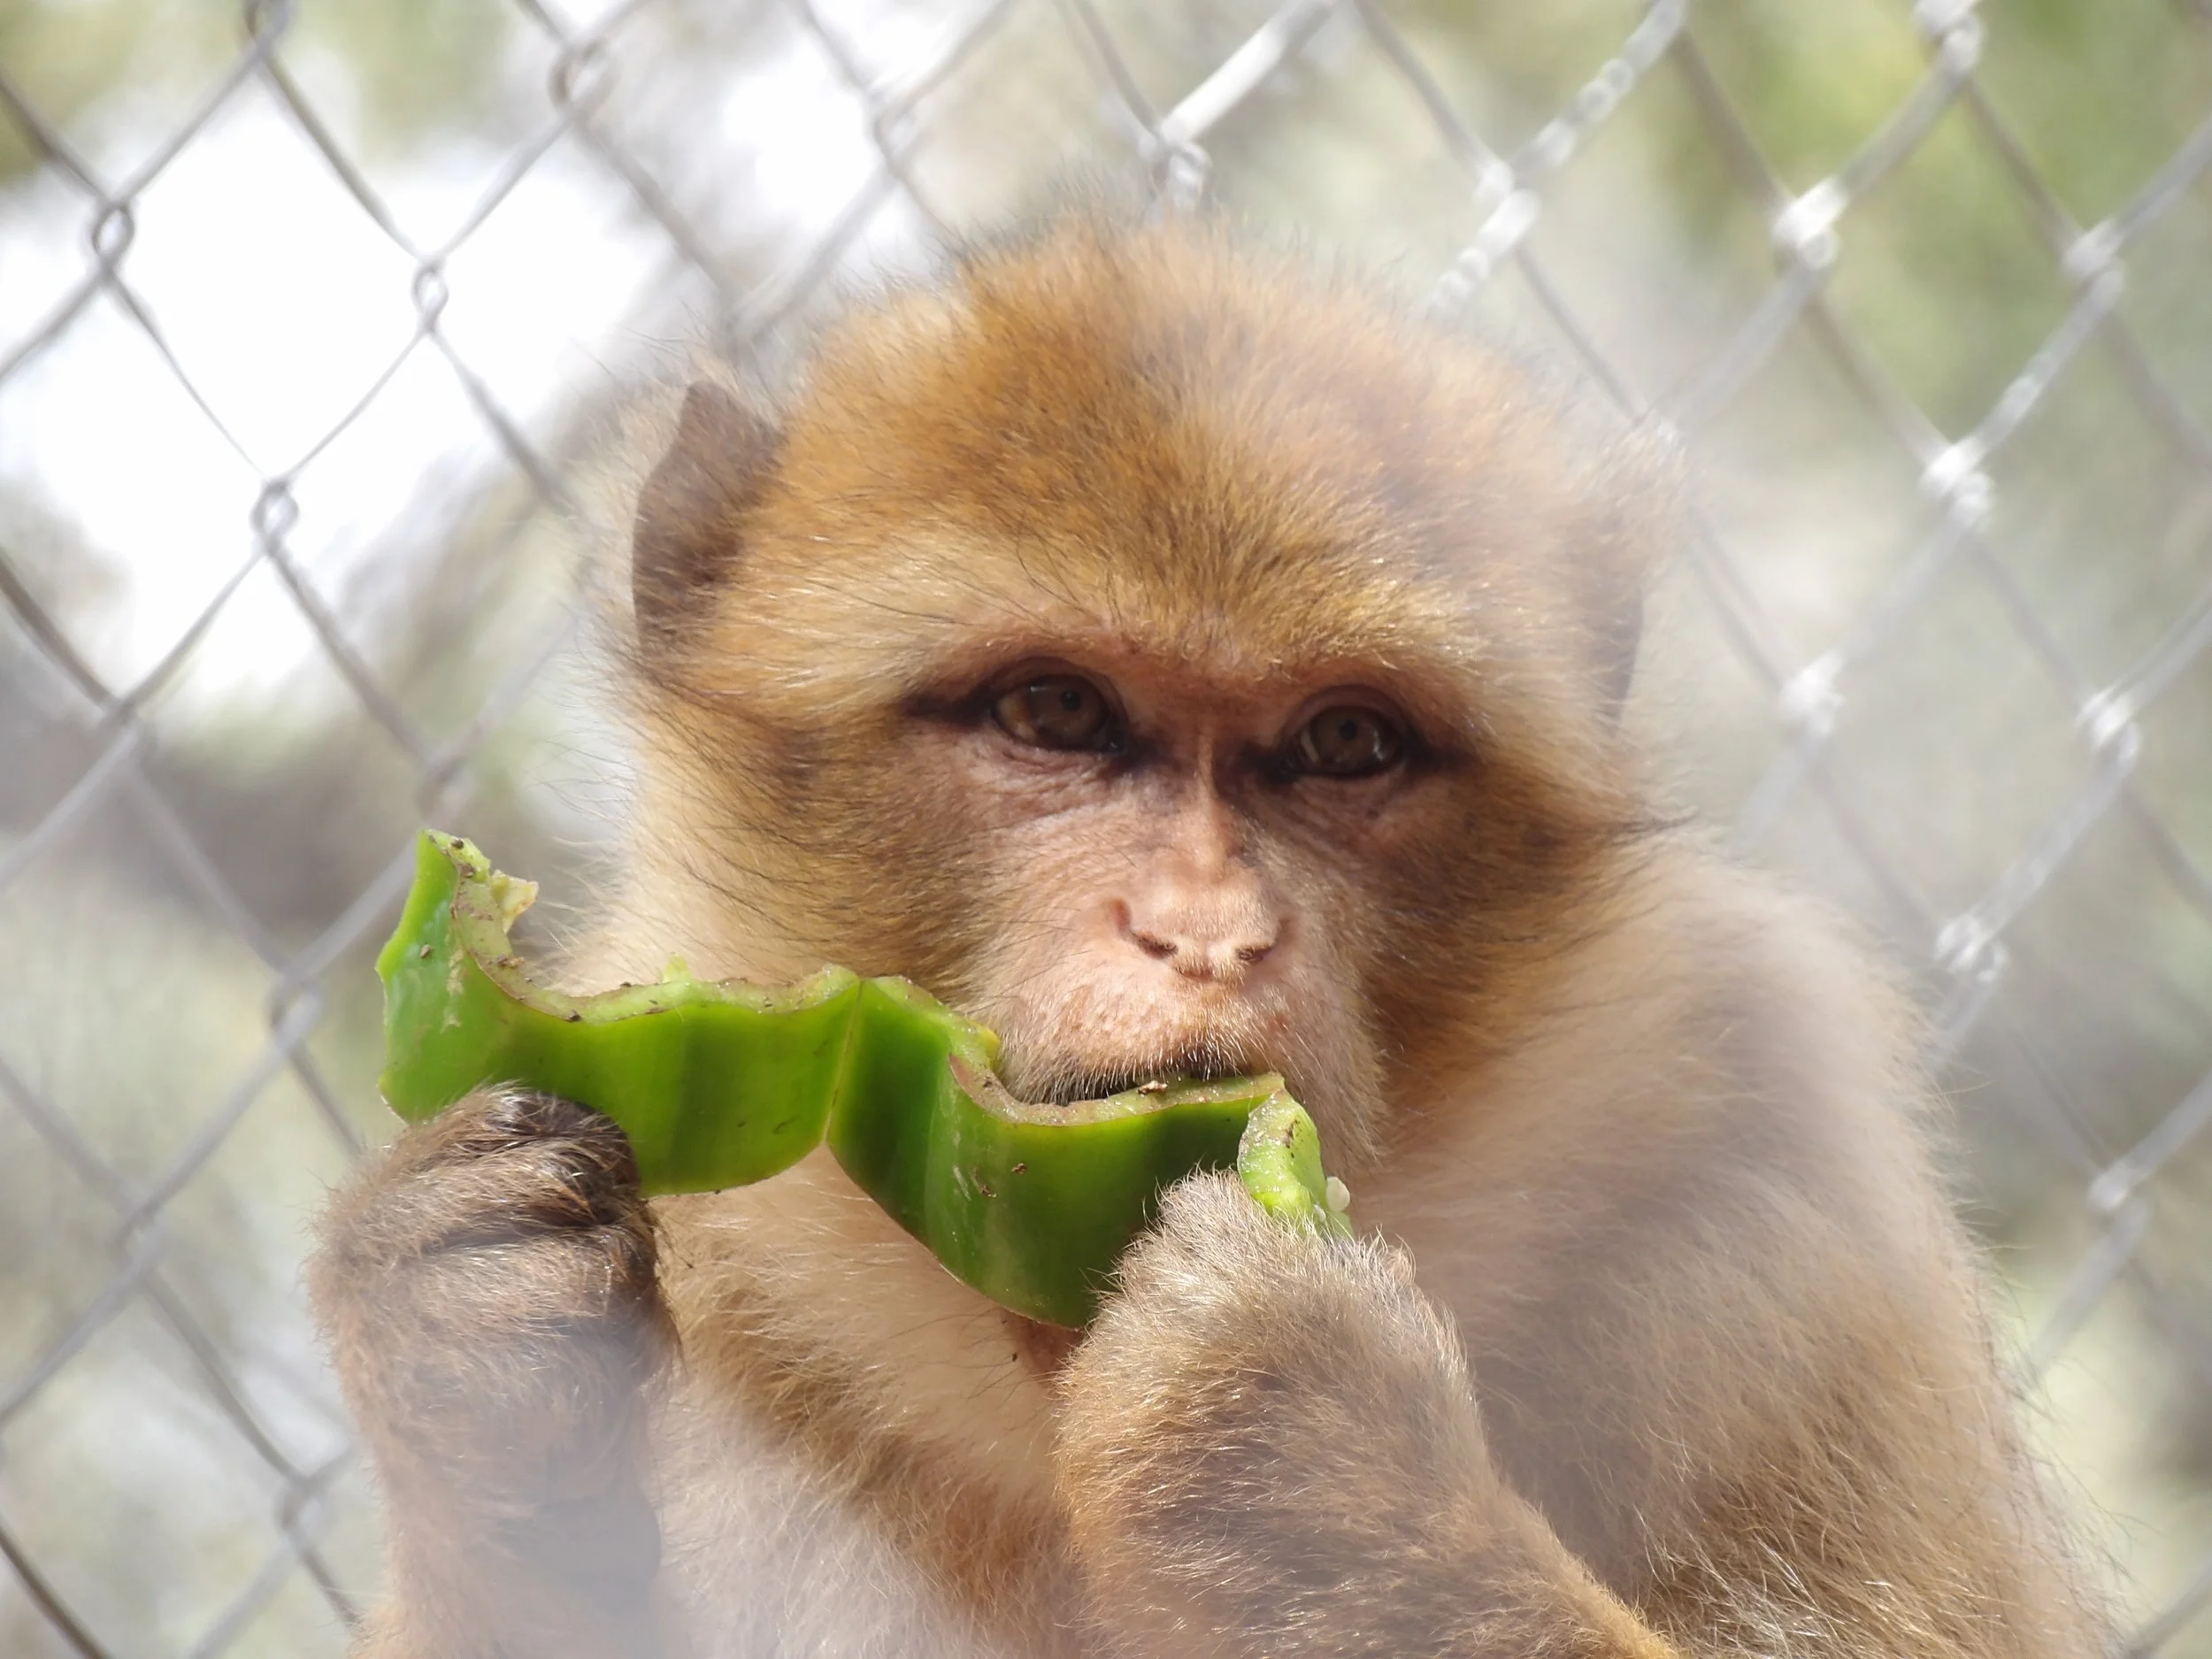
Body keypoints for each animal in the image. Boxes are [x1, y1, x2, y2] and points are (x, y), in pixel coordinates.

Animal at [309, 217, 2109, 1659]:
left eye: (1346, 744)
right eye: (1055, 712)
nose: (1207, 932)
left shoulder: (1786, 1198)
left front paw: (1312, 1475)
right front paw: (461, 1345)